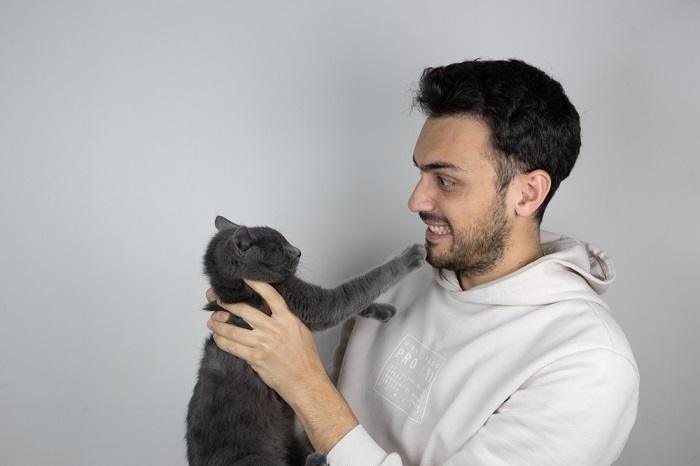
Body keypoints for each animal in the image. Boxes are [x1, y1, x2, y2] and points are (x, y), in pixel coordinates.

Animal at [186, 217, 424, 464]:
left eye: (285, 240)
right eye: (279, 248)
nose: (298, 251)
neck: (240, 290)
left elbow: (358, 299)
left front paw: (384, 310)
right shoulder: (311, 303)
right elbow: (358, 288)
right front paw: (410, 256)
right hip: (250, 456)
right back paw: (317, 459)